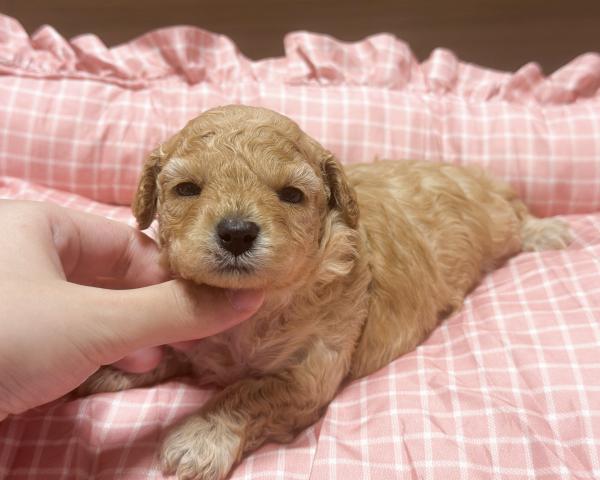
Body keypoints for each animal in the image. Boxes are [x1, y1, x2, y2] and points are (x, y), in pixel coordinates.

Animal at [79, 105, 572, 480]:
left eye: (292, 195)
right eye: (186, 189)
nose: (236, 233)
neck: (262, 304)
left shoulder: (309, 374)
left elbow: (251, 391)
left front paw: (202, 435)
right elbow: (158, 348)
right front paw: (104, 365)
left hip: (497, 220)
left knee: (518, 217)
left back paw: (548, 232)